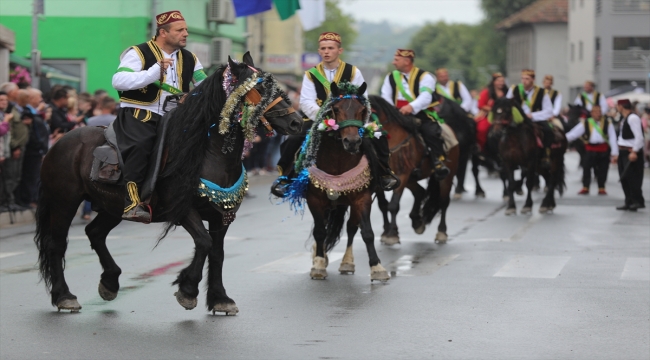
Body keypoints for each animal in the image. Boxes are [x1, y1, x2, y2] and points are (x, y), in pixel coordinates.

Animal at [33, 53, 302, 316]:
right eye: (261, 88)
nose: (296, 123)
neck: (209, 153)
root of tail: (60, 143)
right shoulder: (182, 209)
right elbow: (204, 242)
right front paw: (188, 290)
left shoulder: (222, 215)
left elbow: (217, 253)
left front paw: (220, 299)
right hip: (64, 202)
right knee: (56, 244)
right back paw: (64, 296)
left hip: (112, 206)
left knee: (95, 233)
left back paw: (109, 282)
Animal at [370, 95, 460, 245]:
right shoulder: (384, 180)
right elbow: (383, 205)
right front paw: (386, 231)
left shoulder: (402, 174)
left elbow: (393, 205)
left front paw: (392, 234)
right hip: (411, 179)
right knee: (420, 192)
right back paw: (417, 222)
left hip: (447, 175)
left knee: (443, 201)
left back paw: (441, 232)